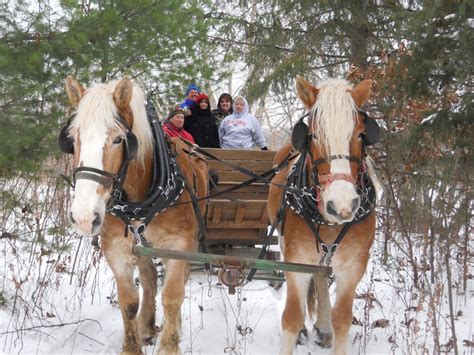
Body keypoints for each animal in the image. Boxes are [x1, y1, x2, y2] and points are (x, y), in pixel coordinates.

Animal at [59, 76, 207, 354]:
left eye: (119, 139)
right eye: (73, 138)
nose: (84, 217)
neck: (140, 201)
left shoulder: (180, 246)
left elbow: (173, 296)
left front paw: (169, 345)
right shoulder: (116, 249)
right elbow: (128, 301)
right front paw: (132, 344)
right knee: (149, 278)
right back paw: (146, 326)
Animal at [270, 76, 378, 354]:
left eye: (360, 134)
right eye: (314, 135)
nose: (341, 205)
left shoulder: (353, 266)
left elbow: (343, 319)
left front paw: (331, 326)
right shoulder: (296, 260)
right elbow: (291, 317)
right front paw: (297, 330)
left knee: (321, 276)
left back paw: (324, 326)